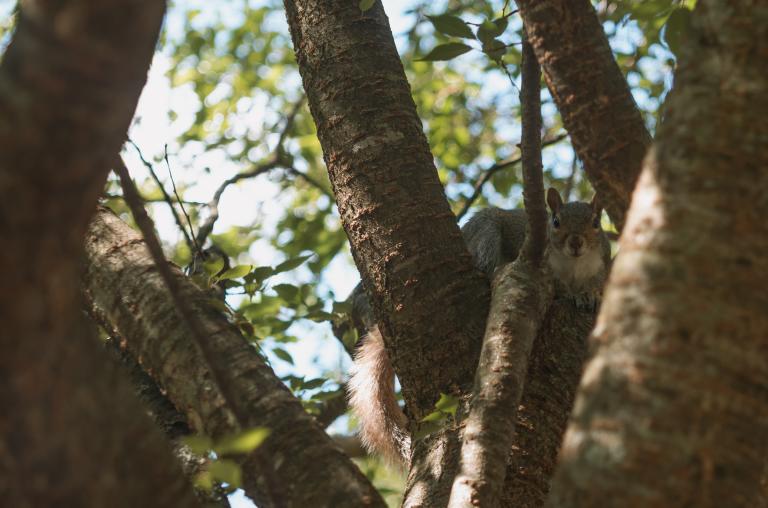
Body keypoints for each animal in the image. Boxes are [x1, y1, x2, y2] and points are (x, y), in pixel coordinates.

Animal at [344, 189, 608, 466]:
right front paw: (571, 295)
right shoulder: (546, 267)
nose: (576, 242)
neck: (574, 265)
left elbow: (597, 285)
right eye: (555, 222)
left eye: (595, 222)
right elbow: (559, 287)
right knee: (486, 262)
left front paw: (590, 296)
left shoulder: (601, 266)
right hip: (485, 234)